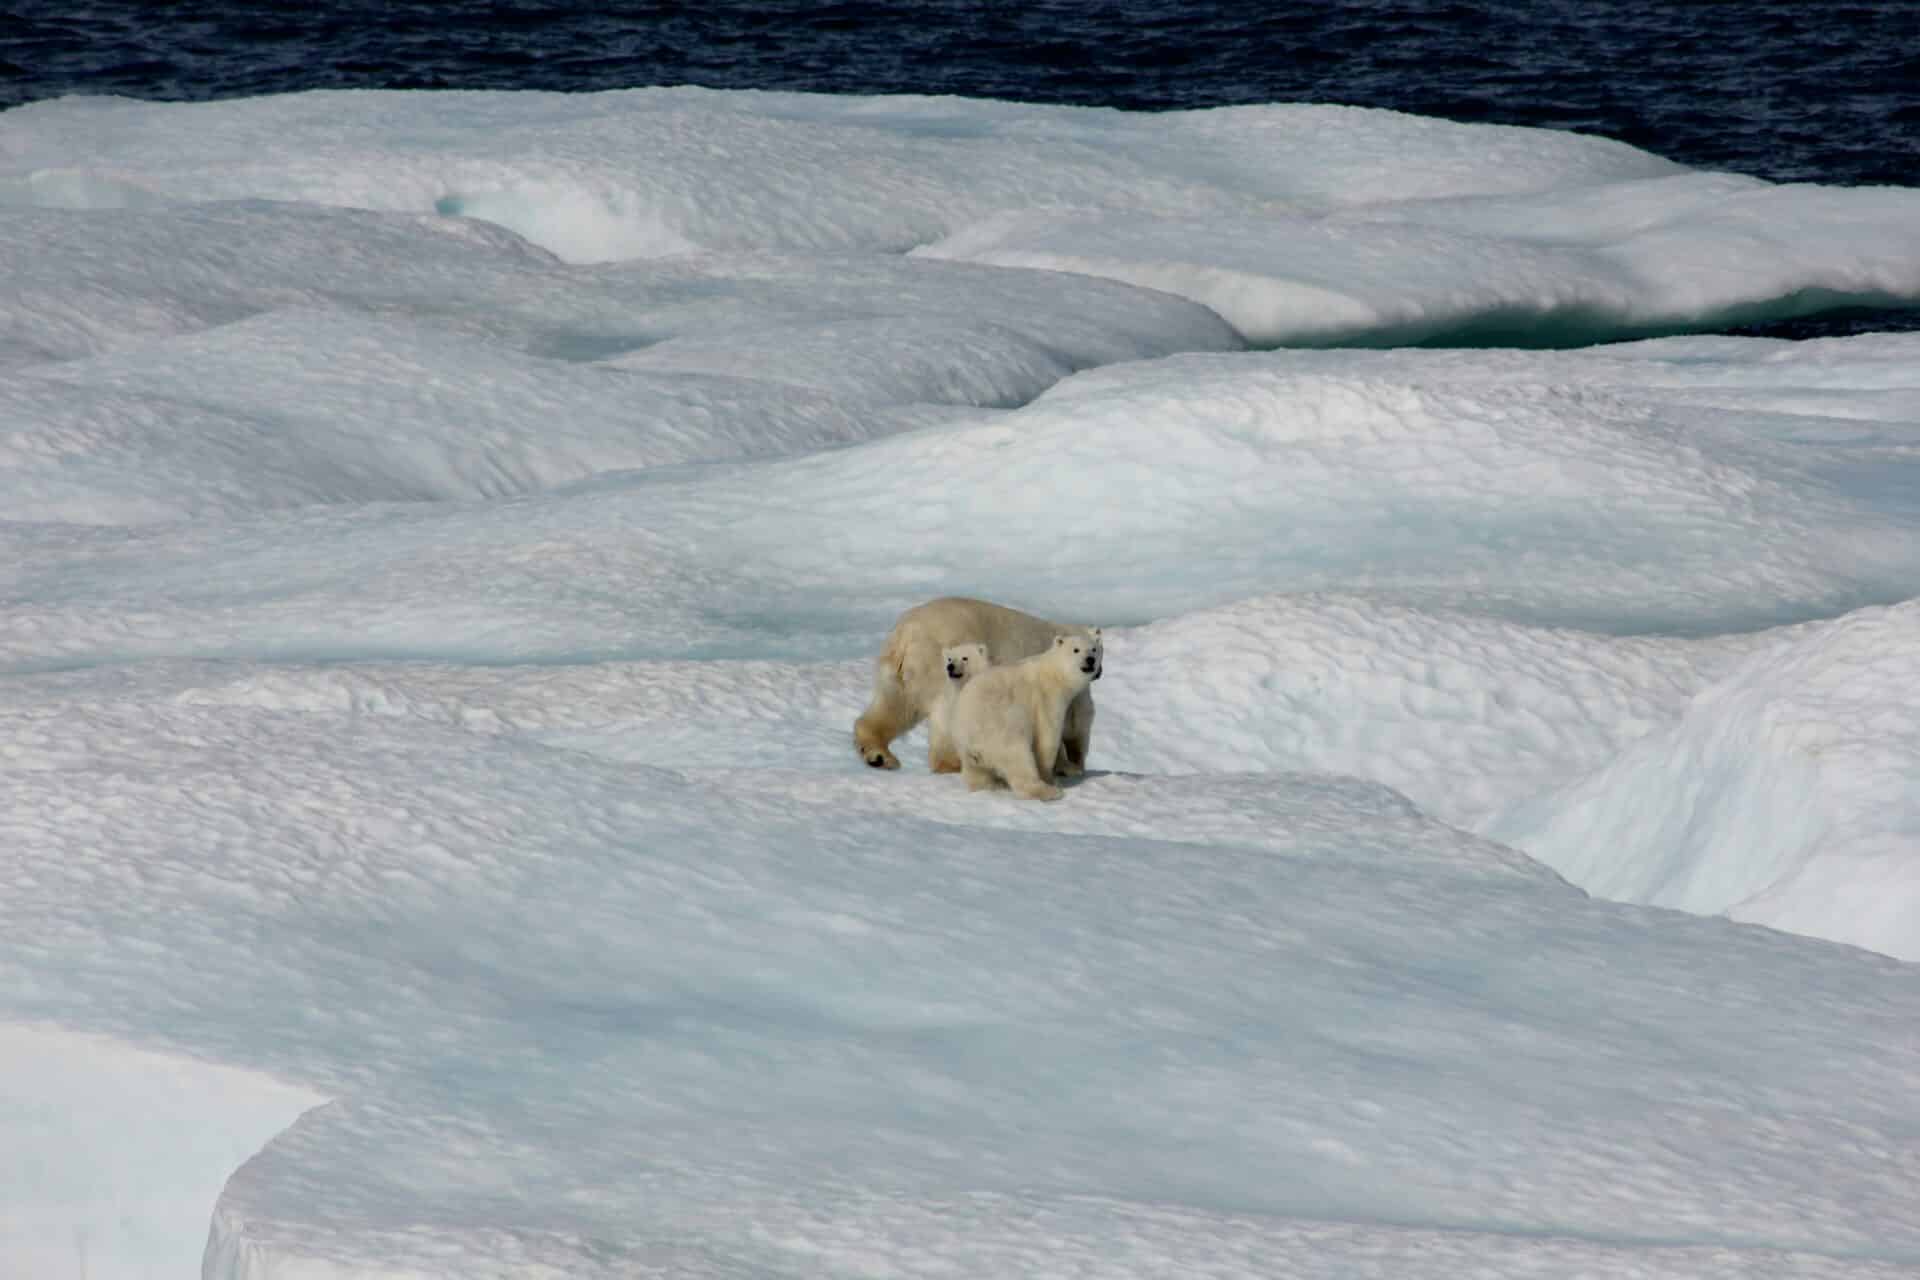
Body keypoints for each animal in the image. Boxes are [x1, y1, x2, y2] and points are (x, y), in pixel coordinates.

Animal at [852, 598, 1098, 771]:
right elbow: (1074, 724)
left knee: (894, 706)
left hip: (902, 674)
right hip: (944, 665)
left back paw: (879, 756)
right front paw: (1071, 766)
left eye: (1097, 649)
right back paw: (952, 763)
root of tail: (907, 633)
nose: (1096, 668)